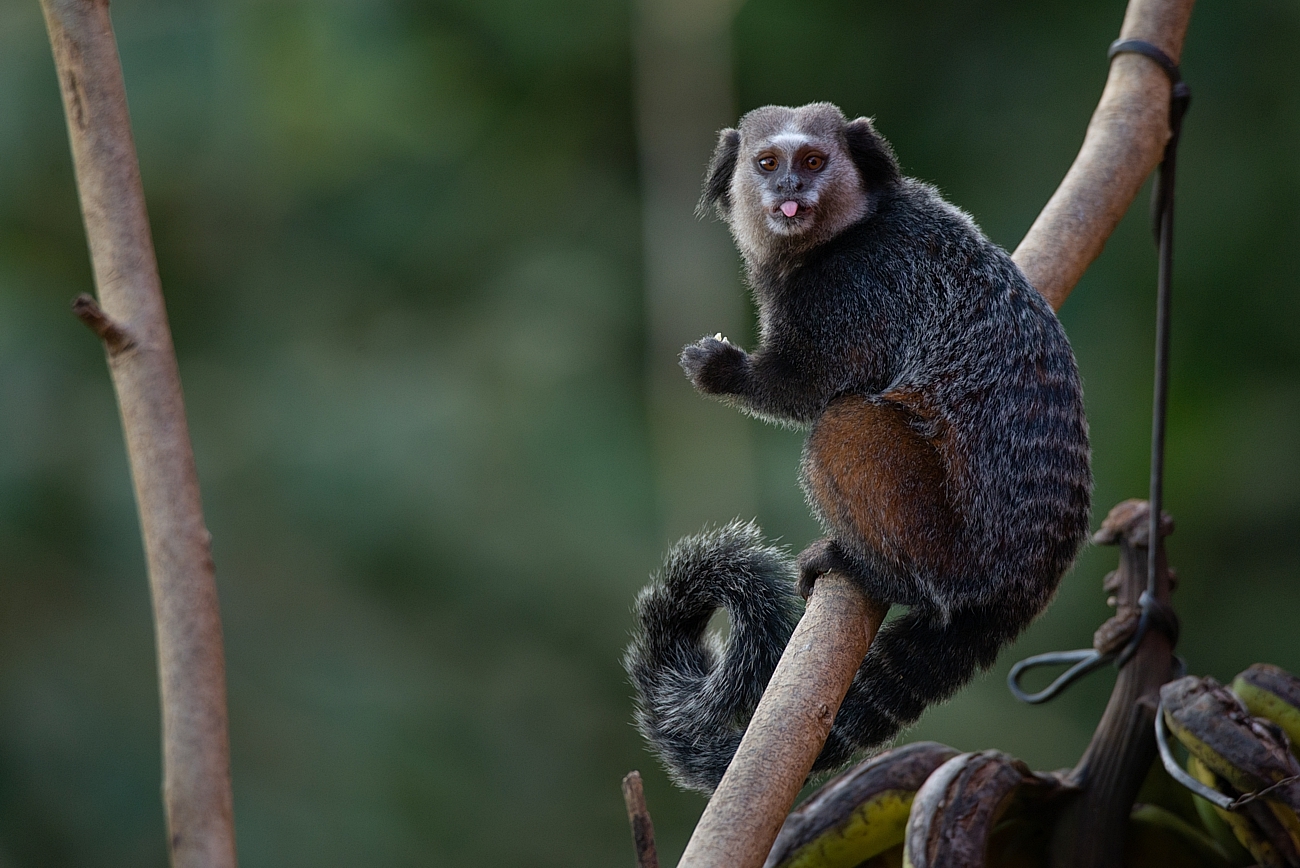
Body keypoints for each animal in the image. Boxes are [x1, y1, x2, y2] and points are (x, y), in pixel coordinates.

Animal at [624, 102, 1092, 795]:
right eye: (767, 163)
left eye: (814, 161)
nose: (789, 188)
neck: (844, 233)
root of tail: (1032, 577)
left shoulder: (849, 292)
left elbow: (812, 388)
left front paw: (722, 371)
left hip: (951, 539)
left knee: (845, 425)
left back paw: (870, 569)